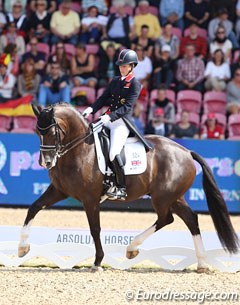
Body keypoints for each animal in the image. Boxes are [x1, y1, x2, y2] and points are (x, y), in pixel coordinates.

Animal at [17, 102, 239, 270]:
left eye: (53, 131)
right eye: (37, 131)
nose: (46, 162)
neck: (78, 150)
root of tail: (186, 151)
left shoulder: (90, 198)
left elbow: (95, 228)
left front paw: (97, 262)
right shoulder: (59, 191)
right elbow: (33, 208)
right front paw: (22, 248)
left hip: (162, 197)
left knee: (166, 218)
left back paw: (132, 248)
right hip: (174, 197)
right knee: (190, 219)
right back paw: (201, 263)